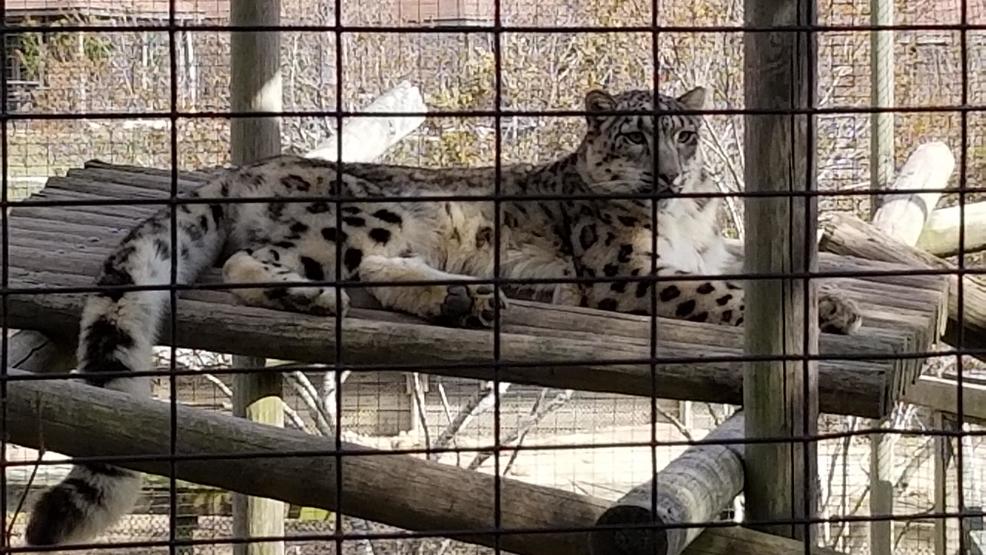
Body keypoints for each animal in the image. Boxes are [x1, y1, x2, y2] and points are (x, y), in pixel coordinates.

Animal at [25, 85, 862, 546]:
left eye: (685, 134)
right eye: (634, 137)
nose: (670, 174)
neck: (684, 221)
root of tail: (245, 170)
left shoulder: (714, 249)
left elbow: (751, 271)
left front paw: (836, 292)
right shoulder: (627, 273)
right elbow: (725, 295)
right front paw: (826, 307)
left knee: (362, 274)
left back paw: (464, 298)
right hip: (371, 214)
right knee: (257, 266)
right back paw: (331, 295)